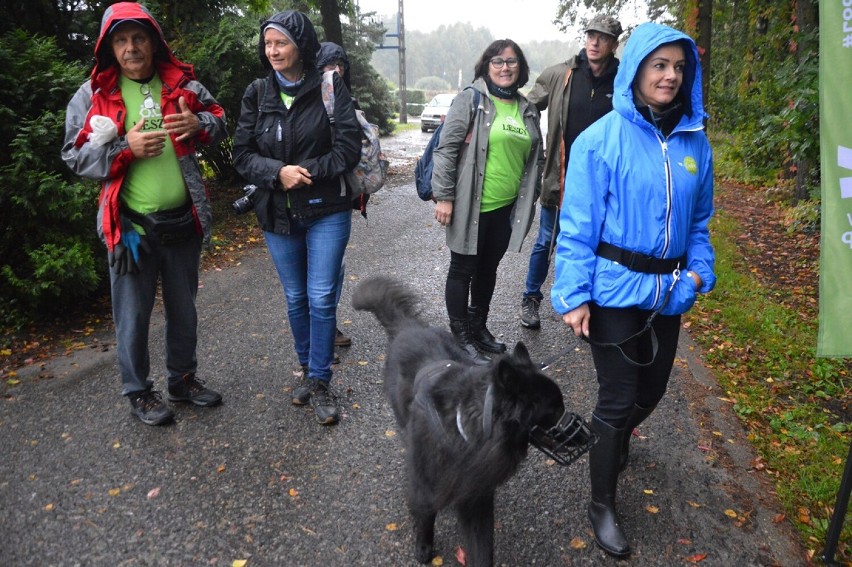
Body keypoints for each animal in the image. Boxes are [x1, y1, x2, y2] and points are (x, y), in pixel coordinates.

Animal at [352, 276, 564, 567]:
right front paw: (423, 546)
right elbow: (425, 514)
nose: (587, 431)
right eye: (555, 409)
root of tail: (408, 326)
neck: (467, 429)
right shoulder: (429, 484)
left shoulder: (476, 496)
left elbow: (481, 547)